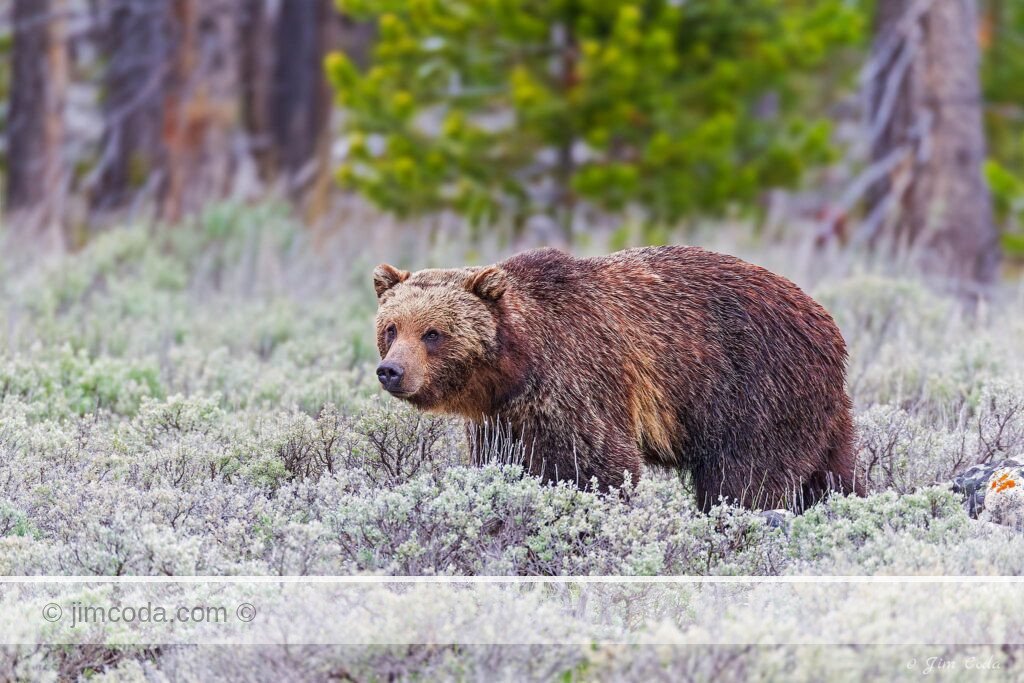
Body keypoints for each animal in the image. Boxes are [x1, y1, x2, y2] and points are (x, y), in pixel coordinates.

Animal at [373, 246, 862, 512]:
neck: (517, 366)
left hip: (756, 387)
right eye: (392, 328)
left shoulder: (578, 381)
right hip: (817, 409)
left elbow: (595, 465)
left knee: (747, 477)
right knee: (833, 473)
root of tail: (828, 323)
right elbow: (504, 462)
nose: (391, 370)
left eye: (432, 333)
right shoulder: (505, 418)